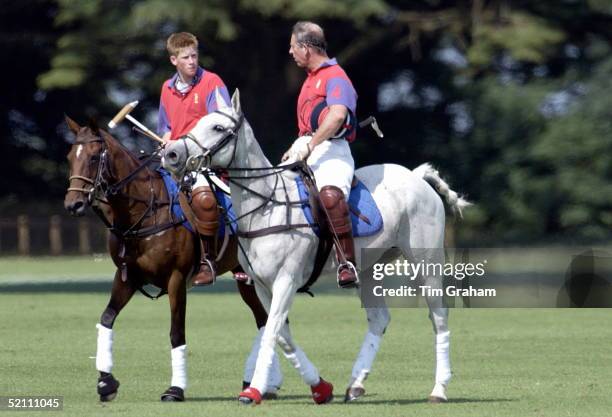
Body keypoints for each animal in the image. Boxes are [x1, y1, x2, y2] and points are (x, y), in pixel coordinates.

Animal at [63, 115, 272, 402]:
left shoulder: (176, 278)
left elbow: (176, 332)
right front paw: (106, 382)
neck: (145, 211)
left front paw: (175, 389)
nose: (73, 205)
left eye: (94, 157)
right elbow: (106, 319)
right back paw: (258, 382)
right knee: (264, 319)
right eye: (70, 157)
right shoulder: (126, 277)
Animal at [163, 89, 468, 404]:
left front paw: (254, 390)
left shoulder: (286, 280)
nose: (171, 154)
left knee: (439, 317)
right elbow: (281, 335)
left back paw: (439, 389)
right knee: (379, 318)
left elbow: (272, 331)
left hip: (426, 263)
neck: (266, 206)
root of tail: (416, 177)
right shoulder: (262, 284)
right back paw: (355, 384)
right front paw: (321, 387)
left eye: (218, 127)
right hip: (368, 268)